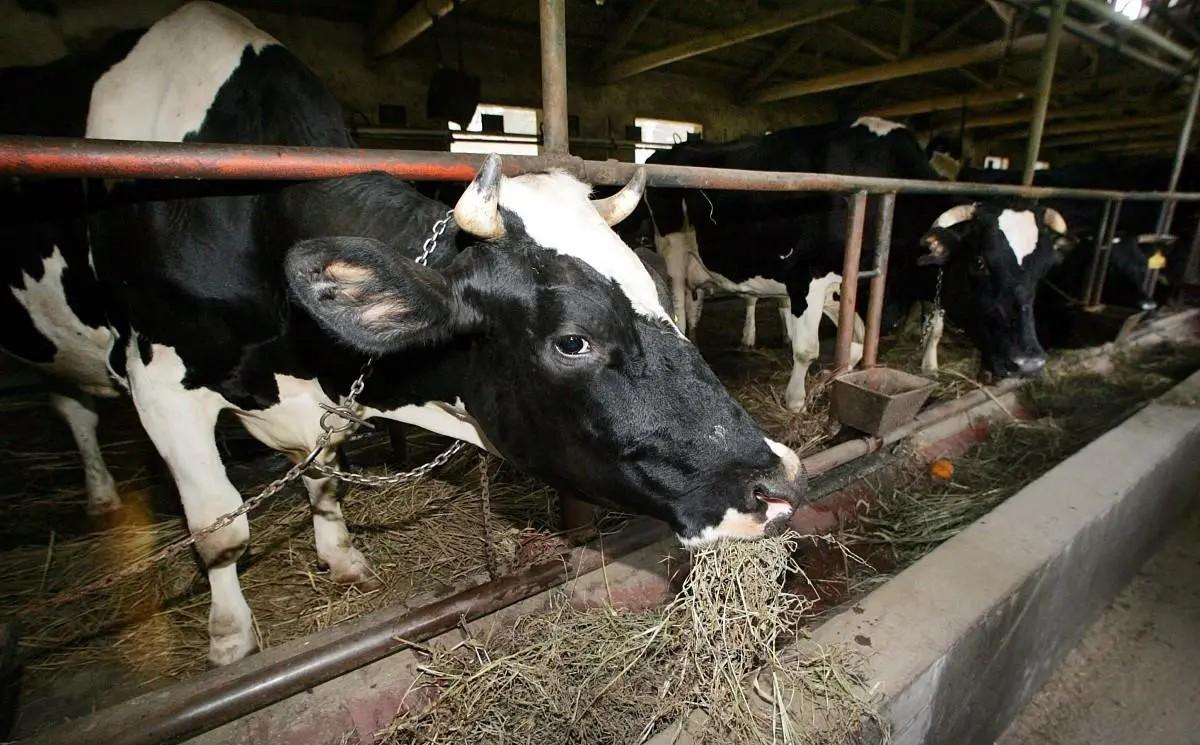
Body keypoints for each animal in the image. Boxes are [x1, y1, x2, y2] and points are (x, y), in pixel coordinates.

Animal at [4, 0, 806, 662]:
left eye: (659, 296)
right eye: (572, 340)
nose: (778, 481)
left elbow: (323, 475)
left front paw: (341, 557)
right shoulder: (158, 382)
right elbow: (220, 530)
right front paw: (231, 641)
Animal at [648, 117, 1070, 407]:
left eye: (1044, 269)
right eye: (979, 262)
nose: (1030, 362)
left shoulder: (848, 285)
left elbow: (857, 344)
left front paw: (837, 376)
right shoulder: (806, 276)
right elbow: (807, 348)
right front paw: (796, 400)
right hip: (673, 246)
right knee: (677, 298)